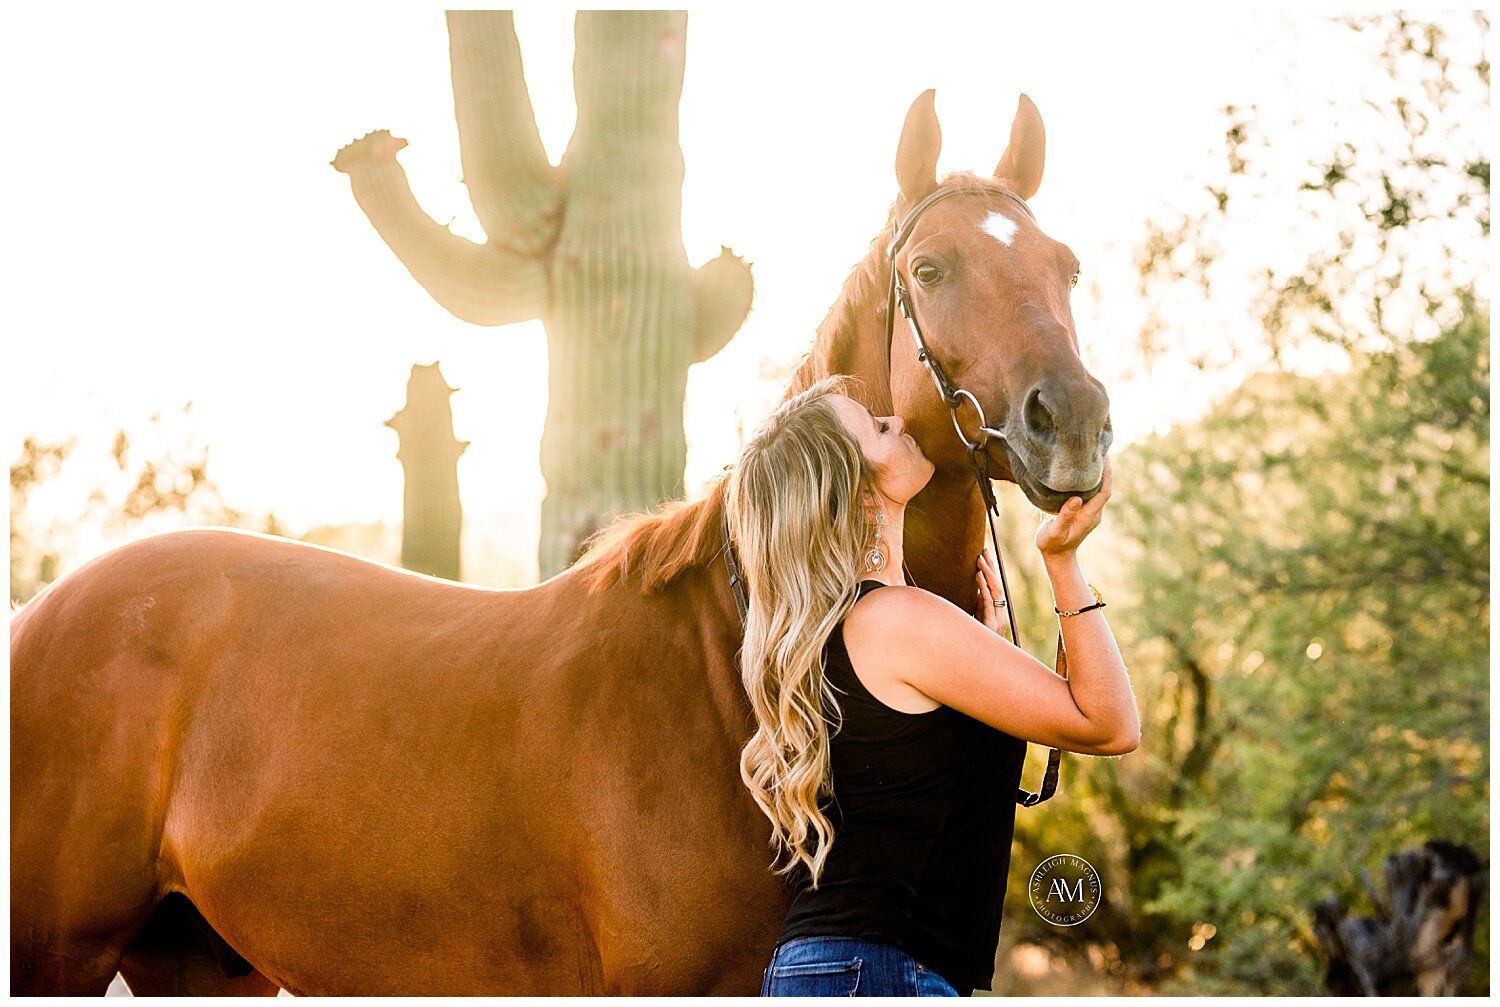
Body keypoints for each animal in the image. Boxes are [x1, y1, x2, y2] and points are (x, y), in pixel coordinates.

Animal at [11, 90, 1110, 996]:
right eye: (930, 268)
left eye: (1066, 265)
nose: (1075, 421)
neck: (737, 669)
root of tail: (42, 613)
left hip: (190, 953)